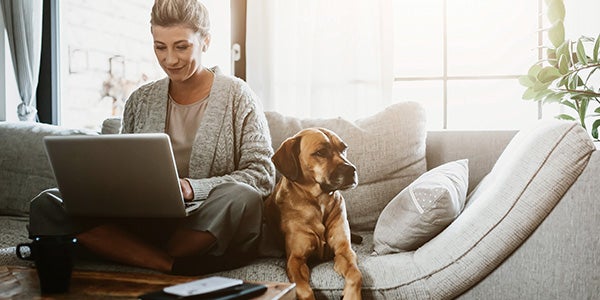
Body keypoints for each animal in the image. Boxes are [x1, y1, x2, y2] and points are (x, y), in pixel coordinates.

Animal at [266, 127, 360, 300]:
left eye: (344, 148)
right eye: (321, 152)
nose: (352, 170)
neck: (319, 201)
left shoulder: (344, 251)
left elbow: (356, 274)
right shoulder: (295, 260)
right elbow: (304, 289)